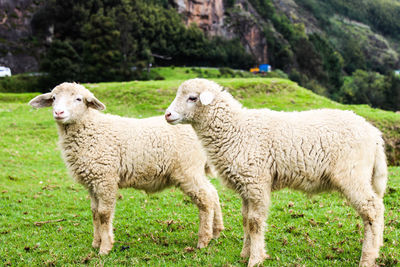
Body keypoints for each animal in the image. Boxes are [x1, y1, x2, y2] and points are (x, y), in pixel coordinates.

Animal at [28, 82, 225, 256]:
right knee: (213, 192)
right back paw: (216, 231)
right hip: (194, 170)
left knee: (205, 199)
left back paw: (203, 240)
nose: (58, 112)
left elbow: (104, 214)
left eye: (79, 99)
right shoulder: (92, 182)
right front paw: (96, 243)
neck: (91, 128)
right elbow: (94, 213)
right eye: (53, 98)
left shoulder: (105, 178)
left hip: (187, 170)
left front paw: (105, 248)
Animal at [164, 79, 386, 267]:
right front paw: (244, 254)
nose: (167, 115)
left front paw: (255, 259)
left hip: (352, 174)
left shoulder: (256, 181)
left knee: (372, 209)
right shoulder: (246, 186)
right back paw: (375, 249)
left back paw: (367, 258)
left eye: (192, 98)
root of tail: (374, 134)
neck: (235, 130)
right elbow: (245, 220)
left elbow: (255, 222)